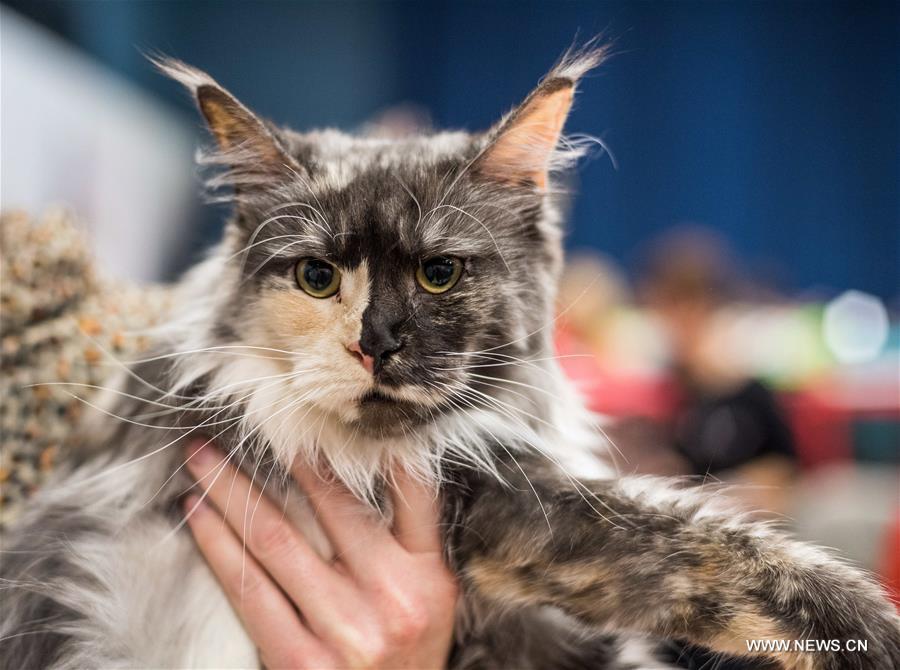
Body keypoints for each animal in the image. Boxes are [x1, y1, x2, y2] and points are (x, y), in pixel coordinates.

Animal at [1, 44, 900, 668]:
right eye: (318, 278)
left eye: (440, 274)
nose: (376, 343)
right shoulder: (503, 502)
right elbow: (722, 552)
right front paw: (873, 634)